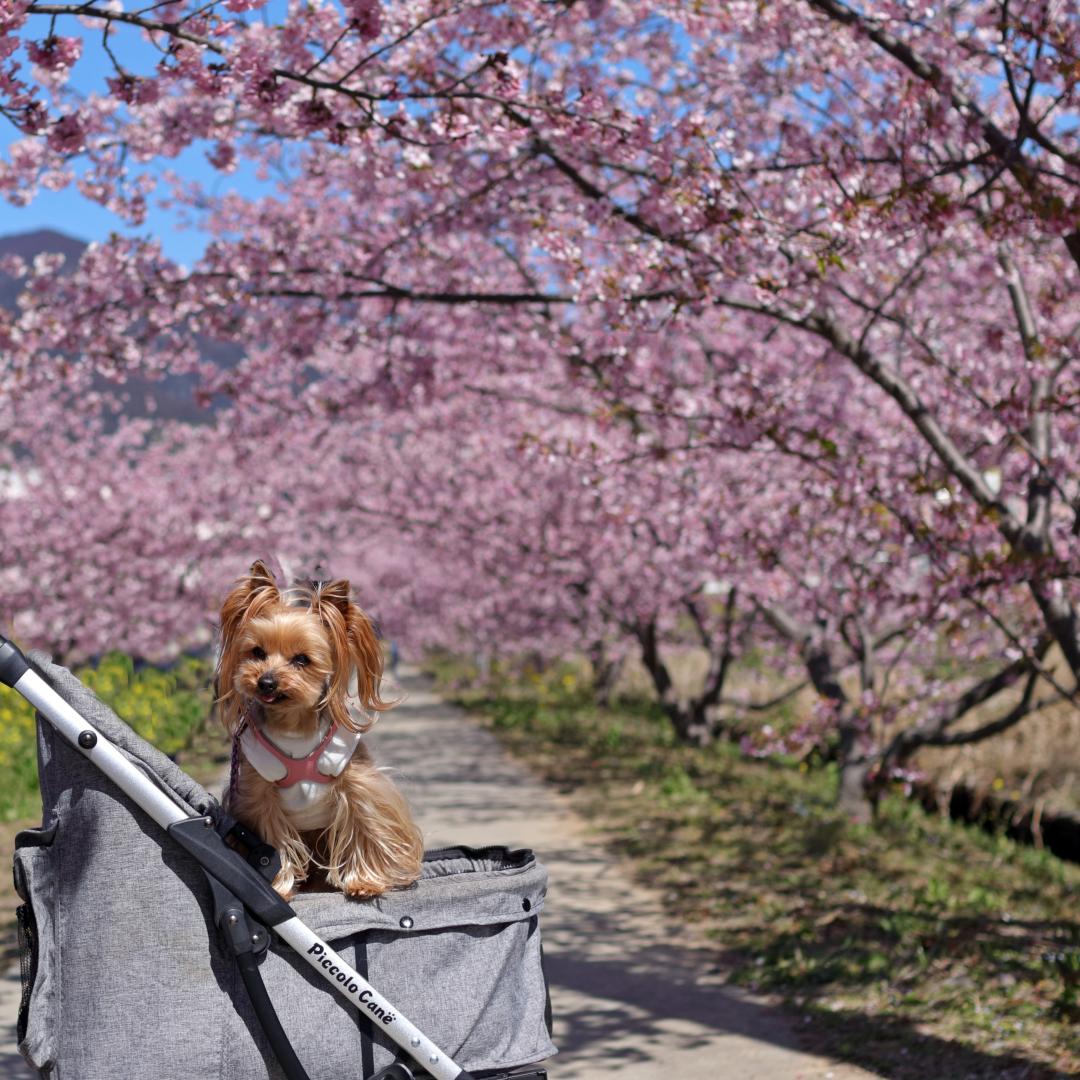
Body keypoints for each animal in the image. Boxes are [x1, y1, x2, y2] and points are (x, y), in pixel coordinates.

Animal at [214, 561, 421, 898]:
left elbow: (367, 825)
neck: (294, 725)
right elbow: (271, 841)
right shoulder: (258, 794)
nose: (266, 682)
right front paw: (279, 887)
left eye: (302, 659)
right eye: (257, 652)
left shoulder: (358, 782)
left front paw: (365, 882)